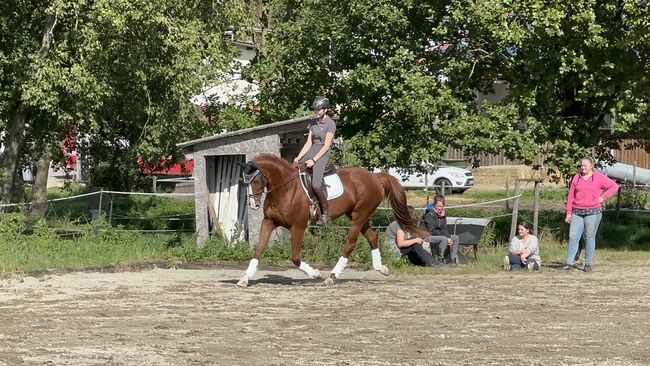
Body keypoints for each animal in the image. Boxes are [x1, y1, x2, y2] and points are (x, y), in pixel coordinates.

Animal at [235, 152, 418, 286]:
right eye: (244, 181)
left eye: (256, 180)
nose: (253, 204)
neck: (285, 189)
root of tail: (375, 177)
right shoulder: (269, 222)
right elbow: (258, 249)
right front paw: (245, 278)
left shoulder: (298, 226)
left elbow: (295, 257)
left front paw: (315, 273)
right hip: (358, 215)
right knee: (373, 236)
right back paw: (381, 268)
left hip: (359, 216)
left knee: (350, 244)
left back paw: (332, 276)